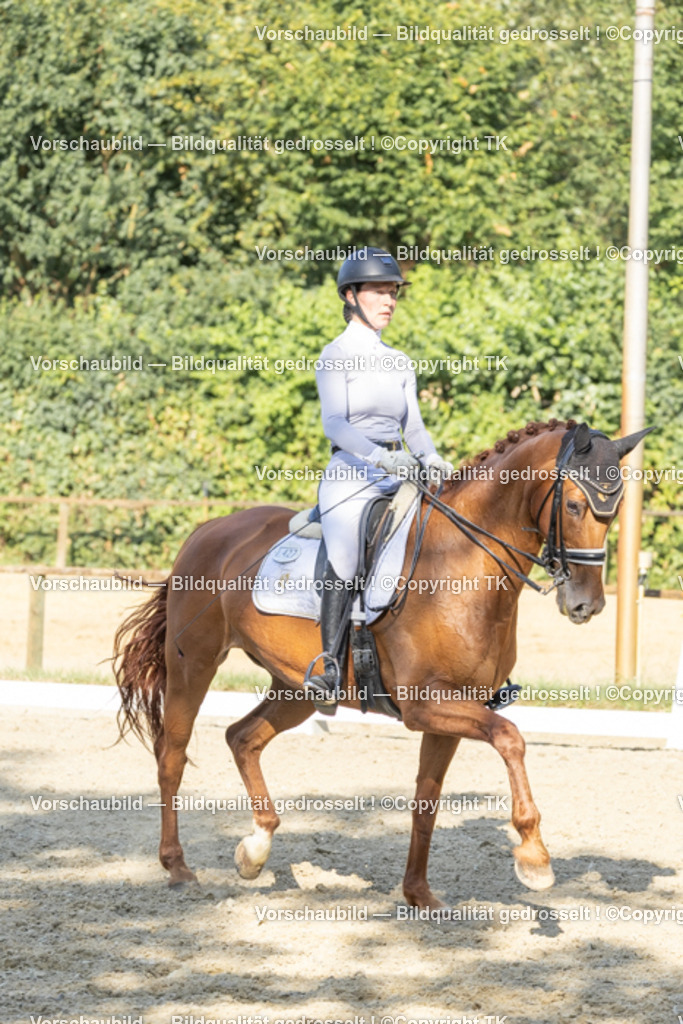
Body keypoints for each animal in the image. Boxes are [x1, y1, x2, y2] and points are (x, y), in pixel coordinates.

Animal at [114, 418, 649, 910]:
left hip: (298, 689)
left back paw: (255, 850)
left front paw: (418, 895)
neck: (459, 561)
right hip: (194, 665)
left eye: (615, 511)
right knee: (172, 756)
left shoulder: (452, 711)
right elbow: (510, 738)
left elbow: (426, 801)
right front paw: (534, 858)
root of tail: (207, 529)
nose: (585, 605)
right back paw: (178, 867)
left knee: (242, 737)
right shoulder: (425, 705)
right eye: (574, 505)